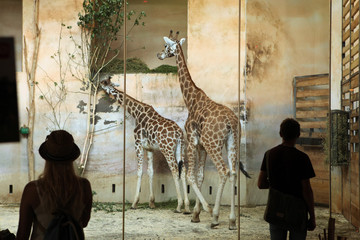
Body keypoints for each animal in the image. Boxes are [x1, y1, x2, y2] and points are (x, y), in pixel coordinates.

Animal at [100, 76, 191, 213]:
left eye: (105, 82)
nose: (99, 83)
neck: (136, 113)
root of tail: (179, 133)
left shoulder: (138, 144)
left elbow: (139, 172)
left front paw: (134, 203)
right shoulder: (150, 148)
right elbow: (150, 171)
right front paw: (152, 203)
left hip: (167, 149)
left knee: (175, 170)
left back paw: (179, 205)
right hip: (180, 148)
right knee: (183, 170)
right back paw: (187, 206)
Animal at [158, 31, 250, 230]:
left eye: (166, 46)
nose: (158, 55)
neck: (190, 100)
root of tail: (231, 123)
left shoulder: (192, 142)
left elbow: (190, 176)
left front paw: (203, 210)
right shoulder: (201, 146)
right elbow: (200, 176)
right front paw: (196, 214)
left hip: (213, 143)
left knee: (223, 171)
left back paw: (215, 216)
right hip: (232, 143)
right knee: (233, 173)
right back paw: (232, 221)